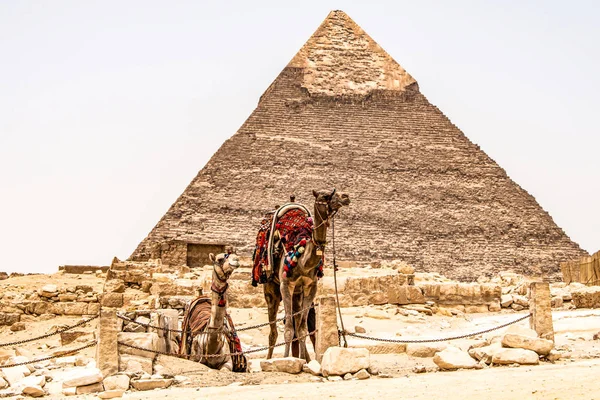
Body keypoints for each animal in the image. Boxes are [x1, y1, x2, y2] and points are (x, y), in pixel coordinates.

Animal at [264, 189, 352, 360]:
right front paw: (286, 359)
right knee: (273, 331)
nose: (346, 196)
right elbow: (288, 329)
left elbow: (302, 328)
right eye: (325, 195)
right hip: (271, 289)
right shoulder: (286, 285)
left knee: (298, 322)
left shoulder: (311, 286)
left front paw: (305, 361)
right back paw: (269, 358)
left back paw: (304, 357)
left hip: (297, 294)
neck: (302, 260)